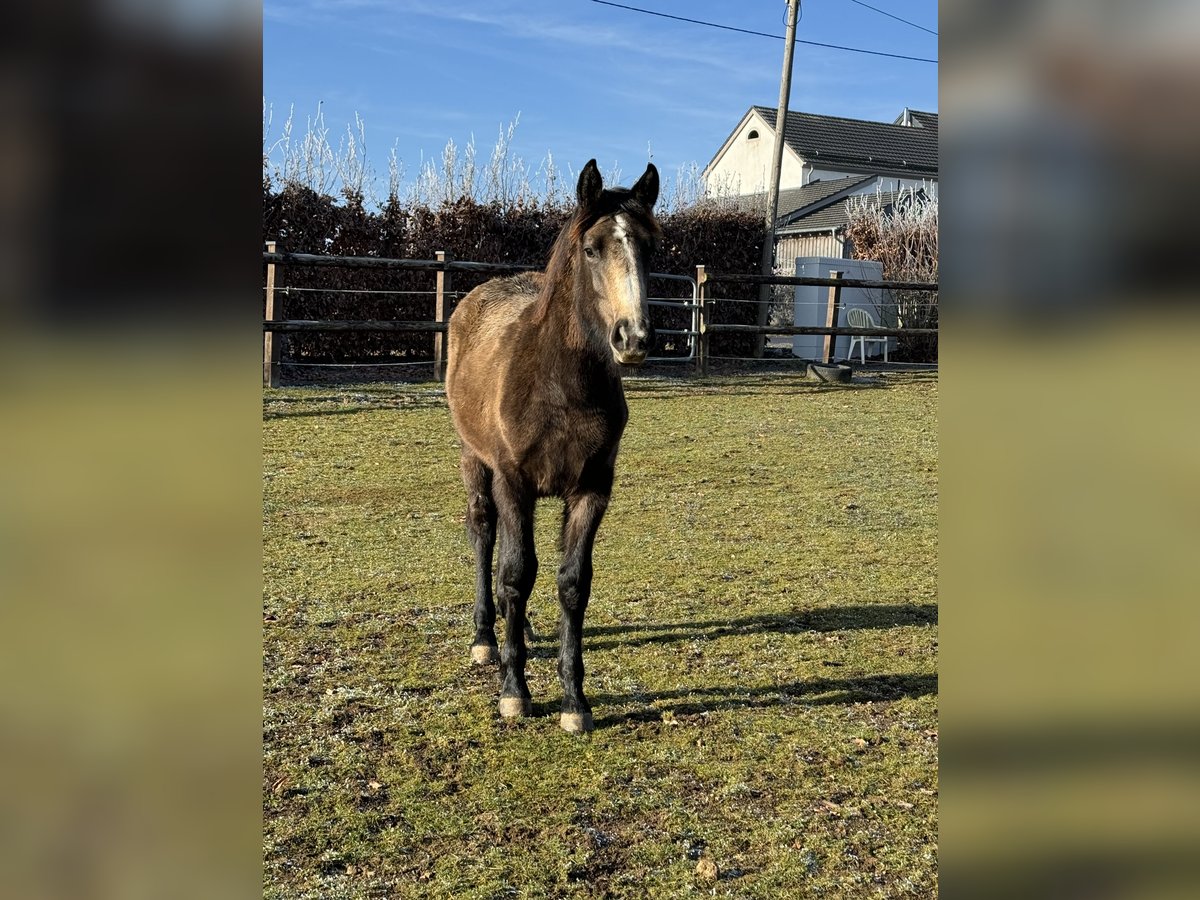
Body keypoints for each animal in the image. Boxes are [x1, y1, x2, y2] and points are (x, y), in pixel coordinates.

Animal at [446, 157, 662, 734]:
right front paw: (514, 692)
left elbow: (572, 583)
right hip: (475, 462)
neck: (561, 385)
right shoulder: (513, 481)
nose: (633, 338)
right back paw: (486, 637)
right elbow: (516, 573)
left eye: (649, 248)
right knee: (484, 535)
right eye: (591, 248)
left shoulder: (592, 489)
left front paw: (574, 701)